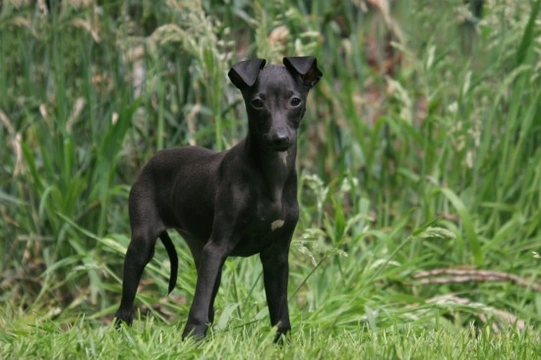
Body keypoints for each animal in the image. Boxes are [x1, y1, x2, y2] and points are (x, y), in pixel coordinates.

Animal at [115, 55, 320, 340]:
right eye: (257, 102)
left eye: (295, 101)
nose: (280, 138)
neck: (271, 178)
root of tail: (152, 160)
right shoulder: (217, 247)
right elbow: (199, 305)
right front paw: (191, 338)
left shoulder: (277, 255)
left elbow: (280, 312)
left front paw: (282, 342)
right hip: (144, 243)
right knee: (126, 306)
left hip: (201, 250)